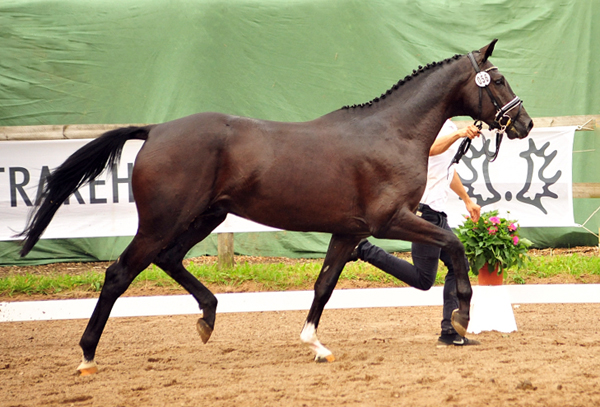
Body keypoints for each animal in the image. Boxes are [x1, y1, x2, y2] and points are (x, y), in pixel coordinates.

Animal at [19, 39, 536, 374]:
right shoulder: (390, 221)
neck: (393, 132)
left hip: (207, 217)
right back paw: (87, 356)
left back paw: (208, 317)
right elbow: (453, 245)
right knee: (119, 274)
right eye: (499, 79)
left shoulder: (349, 231)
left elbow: (324, 284)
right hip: (162, 222)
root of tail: (157, 130)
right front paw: (462, 319)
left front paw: (315, 345)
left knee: (169, 259)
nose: (524, 124)